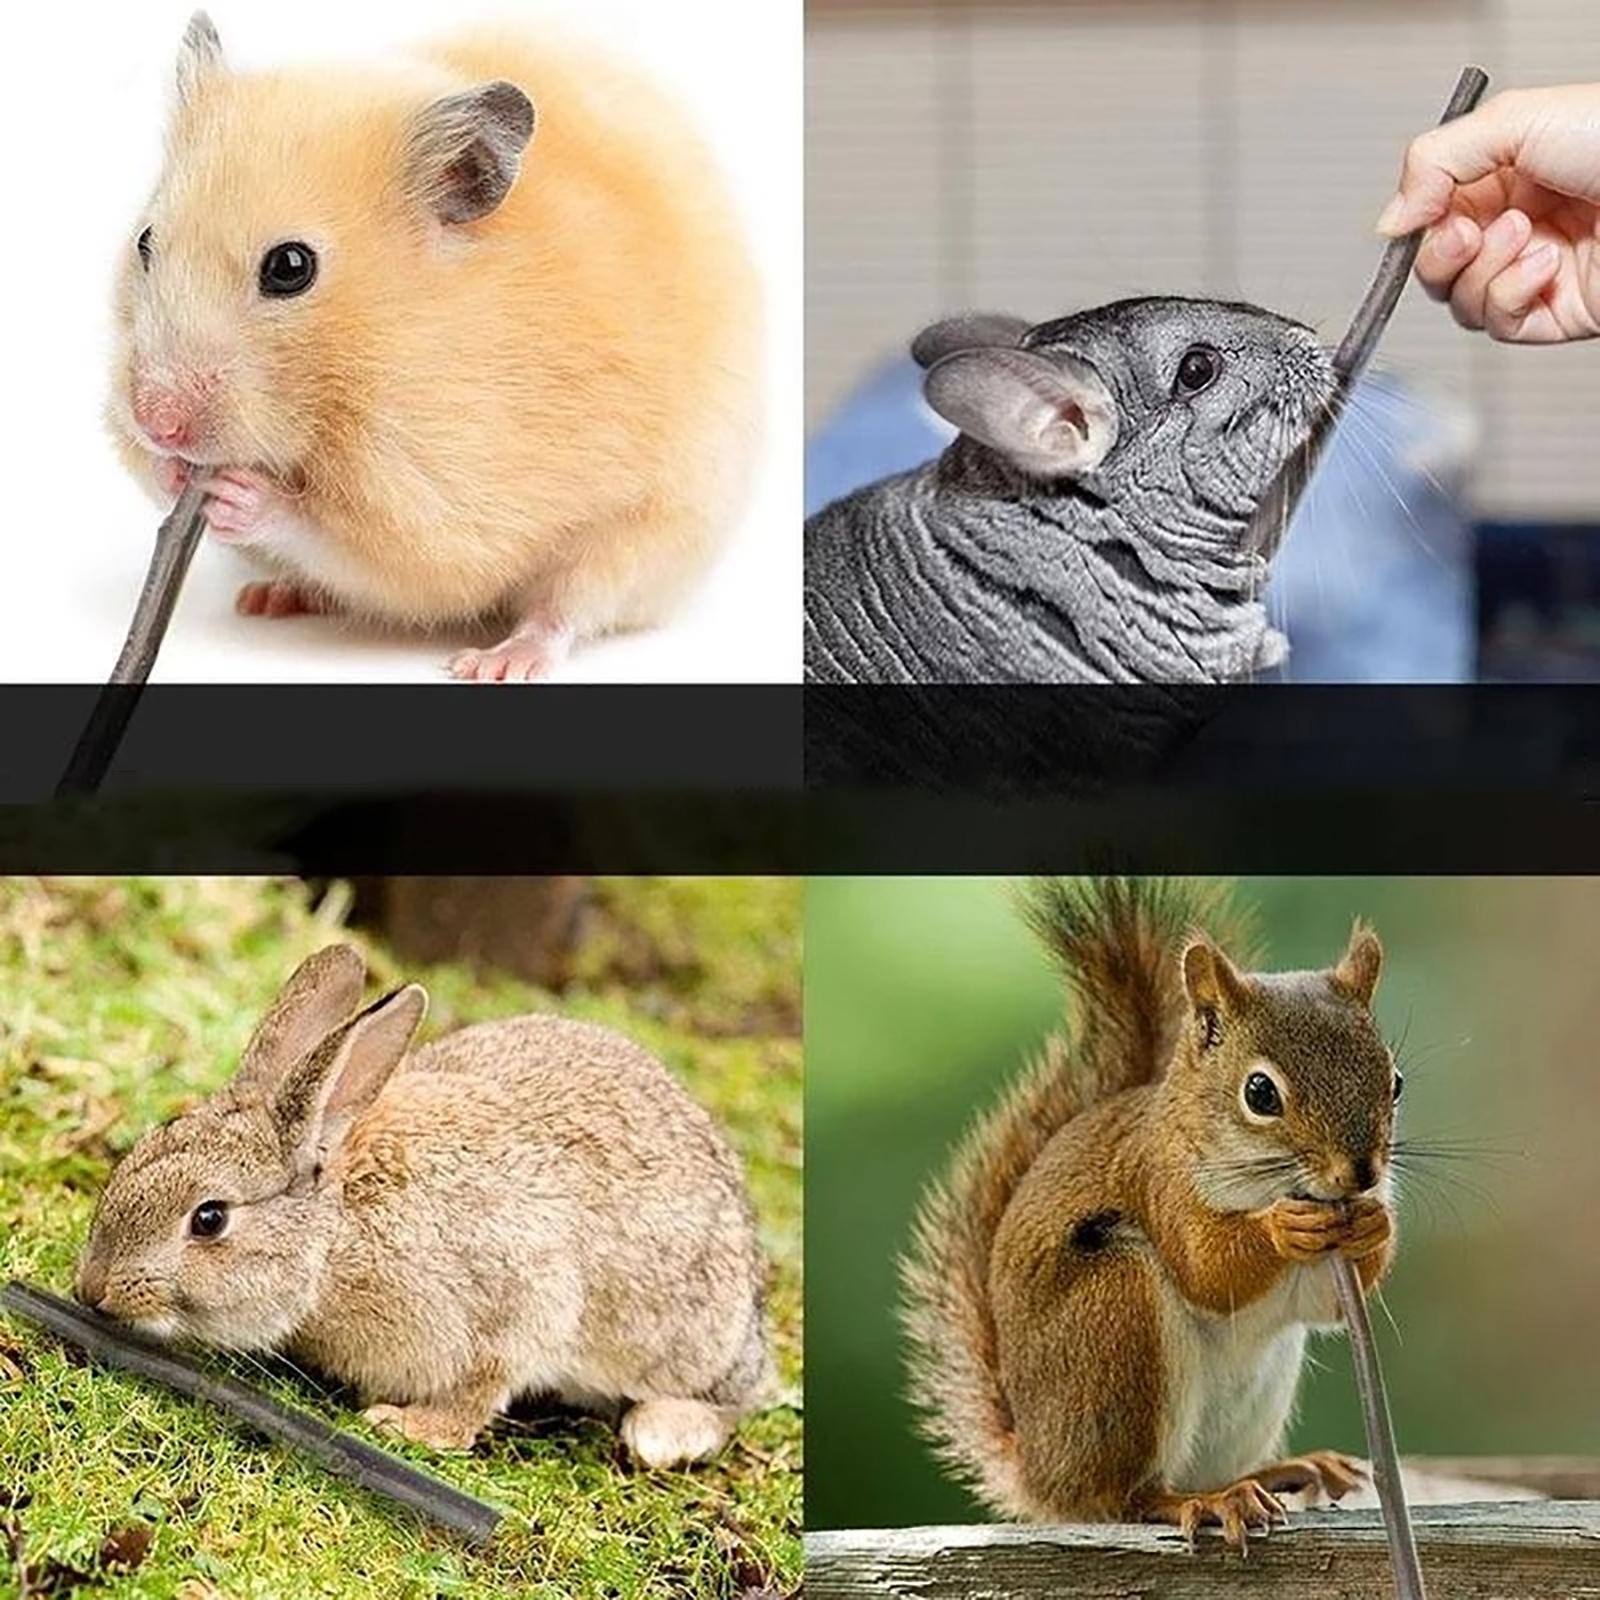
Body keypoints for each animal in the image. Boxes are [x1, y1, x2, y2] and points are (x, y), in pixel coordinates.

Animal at [75, 945, 773, 1463]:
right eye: (154, 1139)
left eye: (210, 1217)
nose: (92, 1289)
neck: (335, 1238)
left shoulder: (523, 1297)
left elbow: (483, 1386)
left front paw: (406, 1428)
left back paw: (662, 1433)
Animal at [109, 14, 761, 681]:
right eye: (146, 241)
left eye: (290, 267)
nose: (156, 422)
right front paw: (169, 471)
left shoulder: (443, 500)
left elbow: (369, 546)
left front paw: (238, 494)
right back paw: (271, 596)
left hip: (649, 531)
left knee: (567, 607)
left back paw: (497, 663)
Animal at [901, 878, 1400, 1550]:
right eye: (1260, 1093)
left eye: (1395, 1081)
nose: (1362, 1173)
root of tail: (1040, 1473)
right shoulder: (1161, 1186)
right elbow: (1206, 1268)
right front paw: (1281, 1228)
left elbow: (1327, 1301)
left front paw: (1375, 1221)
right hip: (1117, 1317)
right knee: (1127, 1496)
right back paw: (1206, 1502)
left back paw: (1282, 1471)